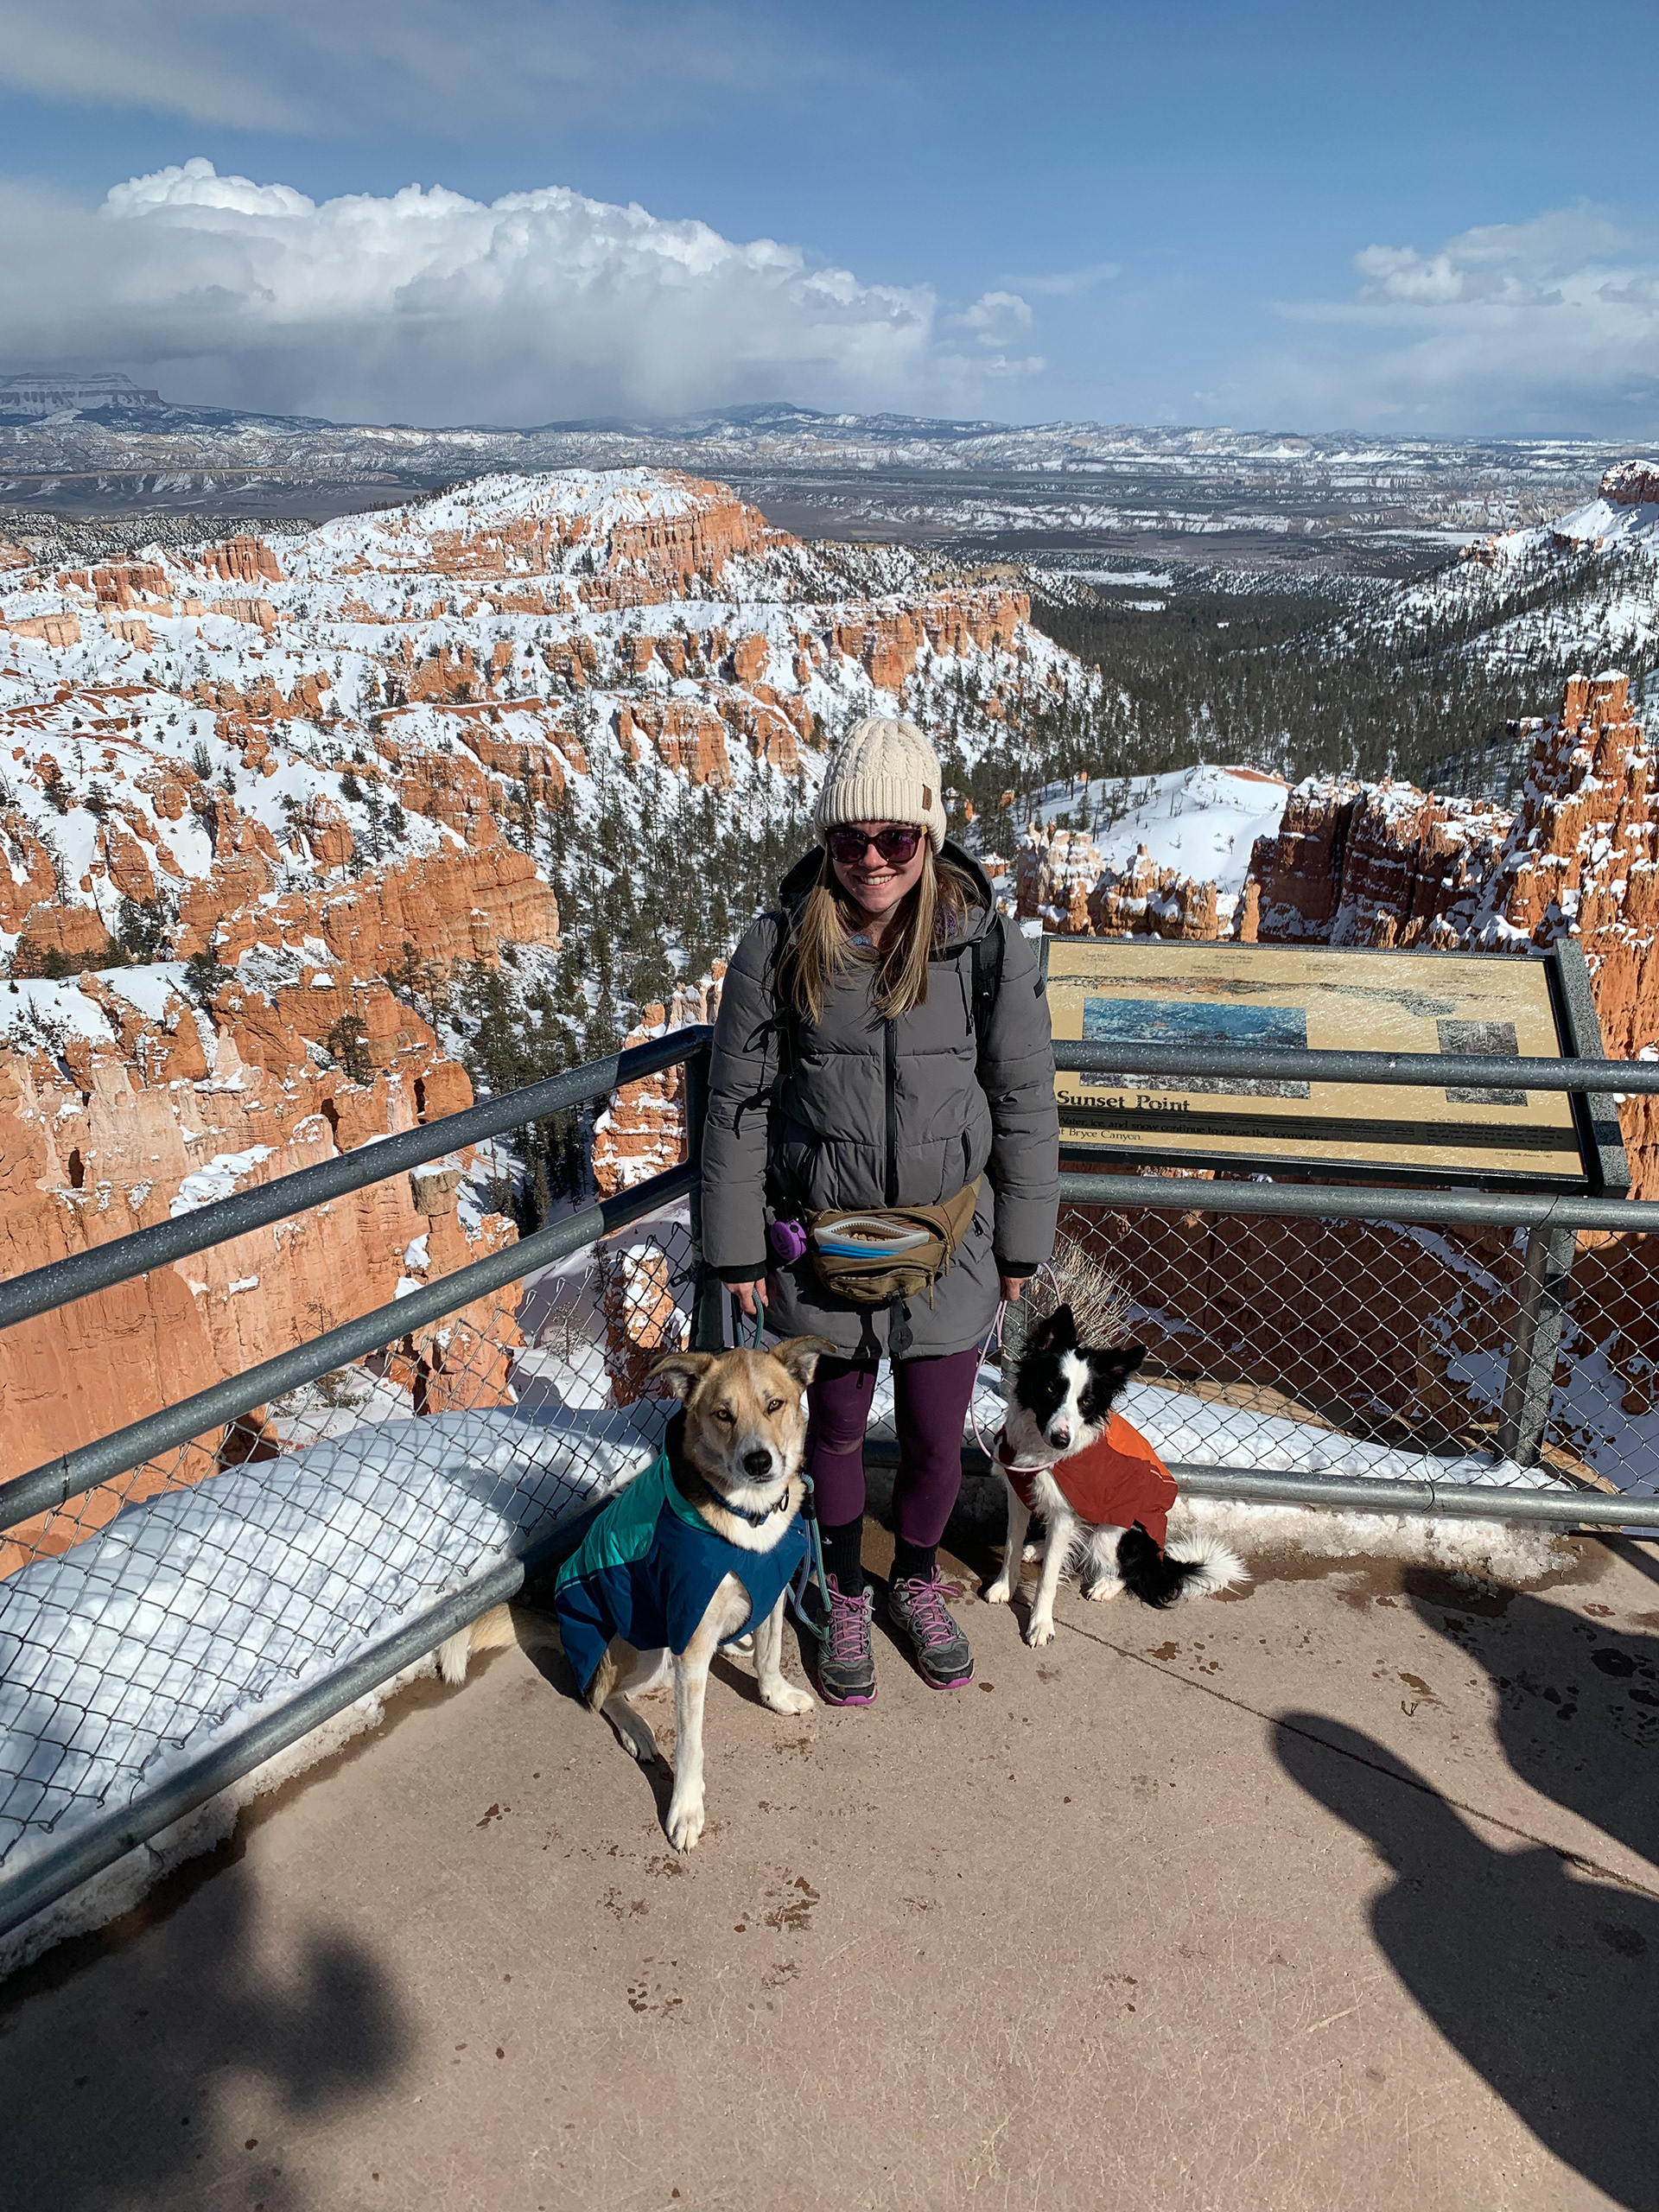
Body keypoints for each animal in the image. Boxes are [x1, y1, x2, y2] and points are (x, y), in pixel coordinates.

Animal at [985, 1303, 1245, 1644]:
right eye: (1051, 1388)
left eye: (1086, 1402)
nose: (1061, 1440)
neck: (1040, 1449)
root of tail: (1158, 1558)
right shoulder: (1020, 1495)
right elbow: (1012, 1548)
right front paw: (1004, 1587)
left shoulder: (1065, 1511)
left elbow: (1048, 1579)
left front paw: (1040, 1625)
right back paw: (1039, 1547)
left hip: (1111, 1535)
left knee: (1131, 1573)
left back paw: (1106, 1584)